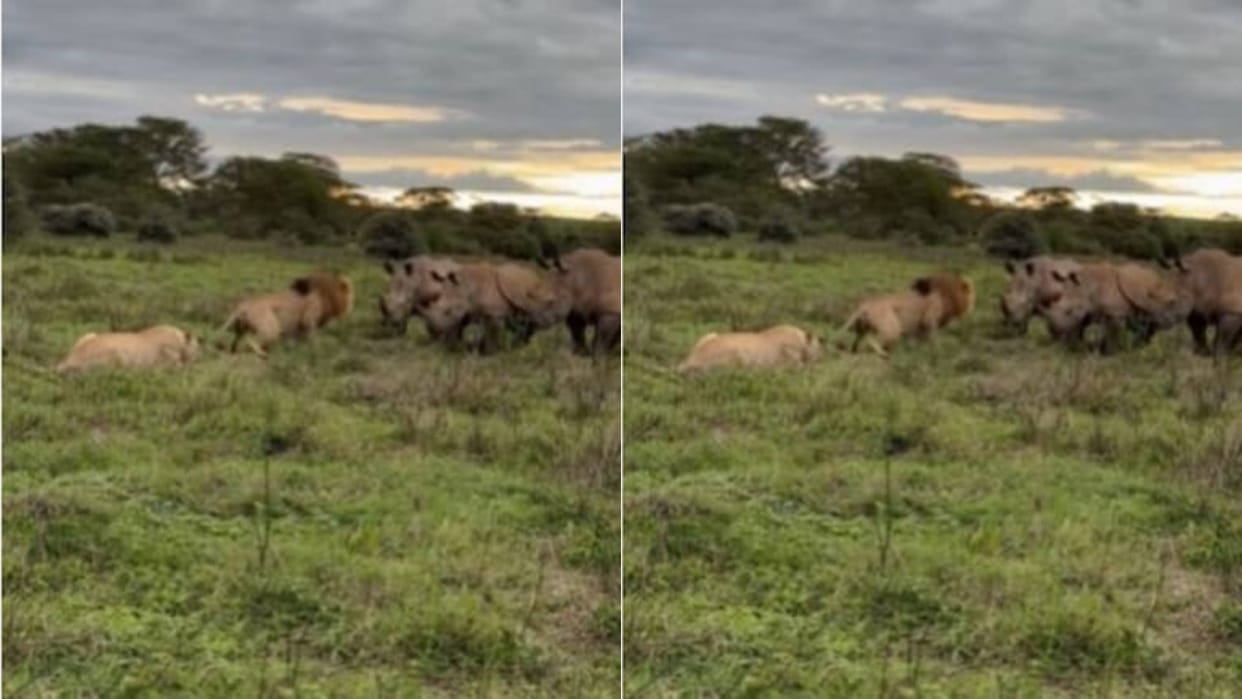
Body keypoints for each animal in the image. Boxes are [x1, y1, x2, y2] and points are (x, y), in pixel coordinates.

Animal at [57, 324, 200, 373]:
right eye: (198, 346)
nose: (200, 355)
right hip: (114, 353)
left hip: (88, 335)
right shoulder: (169, 359)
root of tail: (71, 359)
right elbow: (181, 365)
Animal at [220, 273, 355, 357]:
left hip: (240, 328)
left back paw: (234, 352)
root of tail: (242, 305)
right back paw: (263, 354)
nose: (352, 306)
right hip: (271, 327)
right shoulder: (308, 322)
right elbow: (313, 340)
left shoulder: (299, 328)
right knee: (251, 340)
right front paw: (316, 351)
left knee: (236, 342)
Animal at [677, 324, 823, 374]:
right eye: (818, 347)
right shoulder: (791, 361)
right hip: (736, 353)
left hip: (709, 334)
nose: (819, 357)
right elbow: (806, 367)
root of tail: (691, 359)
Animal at [839, 274, 975, 357]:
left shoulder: (921, 327)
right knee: (872, 340)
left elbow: (921, 341)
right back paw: (884, 354)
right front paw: (936, 351)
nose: (973, 305)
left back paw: (854, 351)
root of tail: (864, 305)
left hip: (862, 327)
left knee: (858, 340)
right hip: (892, 327)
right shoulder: (930, 321)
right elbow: (933, 340)